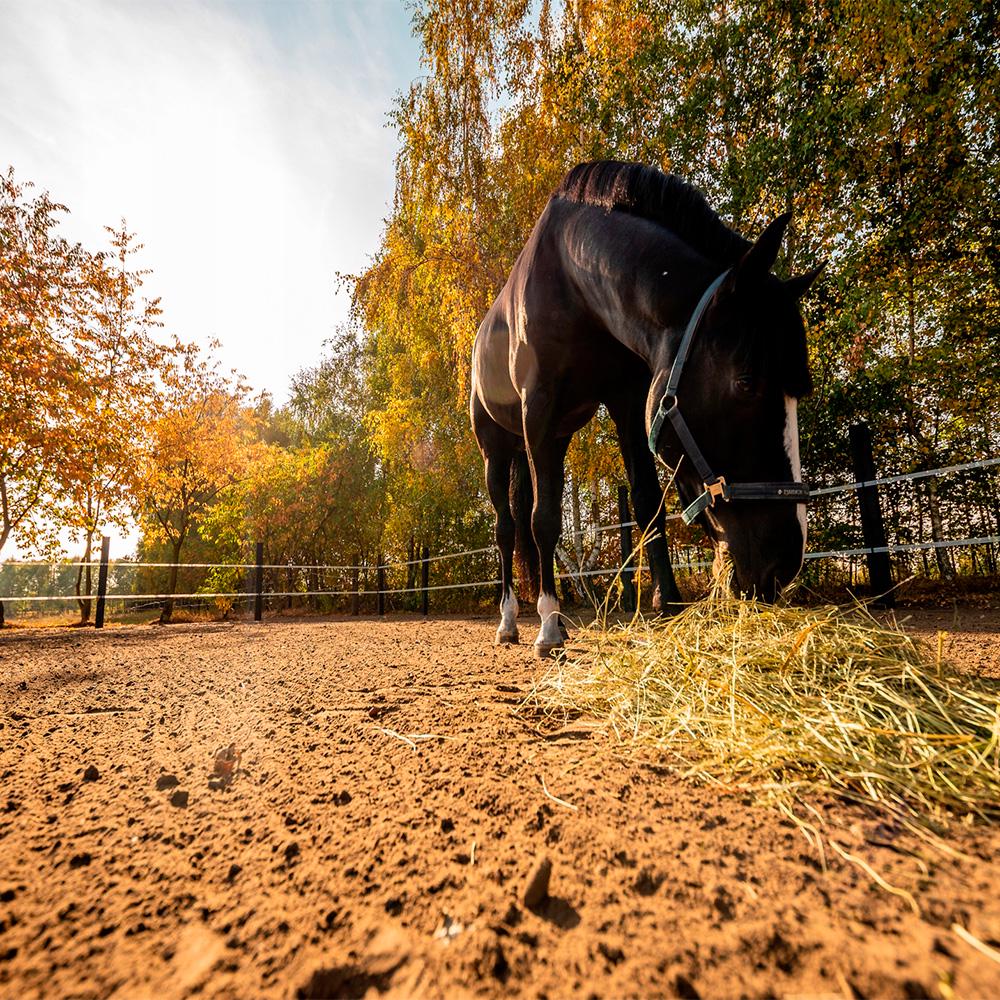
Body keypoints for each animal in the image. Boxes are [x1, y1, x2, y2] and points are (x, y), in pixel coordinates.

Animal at [472, 161, 816, 652]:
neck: (570, 281)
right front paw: (549, 627)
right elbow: (544, 519)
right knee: (505, 529)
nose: (784, 562)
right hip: (497, 449)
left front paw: (667, 601)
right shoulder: (538, 410)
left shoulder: (628, 402)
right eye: (746, 383)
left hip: (553, 439)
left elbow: (646, 499)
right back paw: (509, 620)